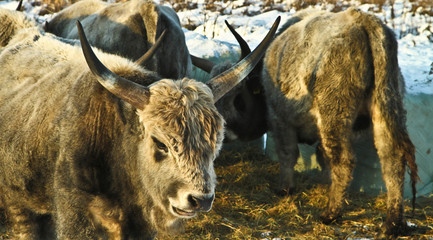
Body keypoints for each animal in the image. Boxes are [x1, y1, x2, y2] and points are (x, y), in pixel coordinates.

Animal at [197, 8, 418, 236]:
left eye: (238, 98)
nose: (217, 132)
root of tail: (363, 21)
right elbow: (322, 157)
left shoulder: (280, 119)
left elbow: (288, 154)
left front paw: (285, 188)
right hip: (386, 107)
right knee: (392, 158)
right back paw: (393, 223)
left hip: (334, 117)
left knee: (344, 159)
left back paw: (331, 213)